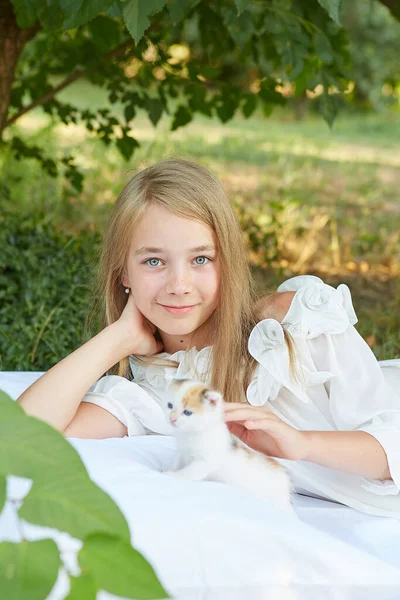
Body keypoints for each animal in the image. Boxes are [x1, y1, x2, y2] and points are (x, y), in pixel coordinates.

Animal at [161, 380, 296, 516]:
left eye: (187, 412)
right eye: (170, 405)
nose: (172, 419)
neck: (190, 433)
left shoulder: (206, 461)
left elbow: (188, 472)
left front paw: (172, 475)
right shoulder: (181, 452)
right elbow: (176, 462)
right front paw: (169, 470)